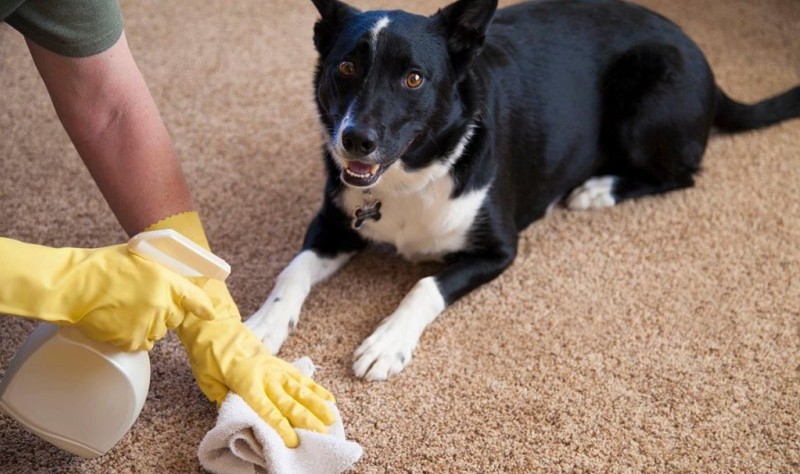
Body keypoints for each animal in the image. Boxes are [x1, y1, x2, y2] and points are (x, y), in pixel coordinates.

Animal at [245, 0, 800, 380]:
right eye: (345, 68)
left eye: (414, 78)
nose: (355, 139)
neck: (411, 176)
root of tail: (700, 55)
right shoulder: (334, 222)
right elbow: (292, 270)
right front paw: (262, 325)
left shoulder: (499, 250)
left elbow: (424, 286)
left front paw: (387, 342)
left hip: (645, 103)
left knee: (683, 173)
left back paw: (597, 189)